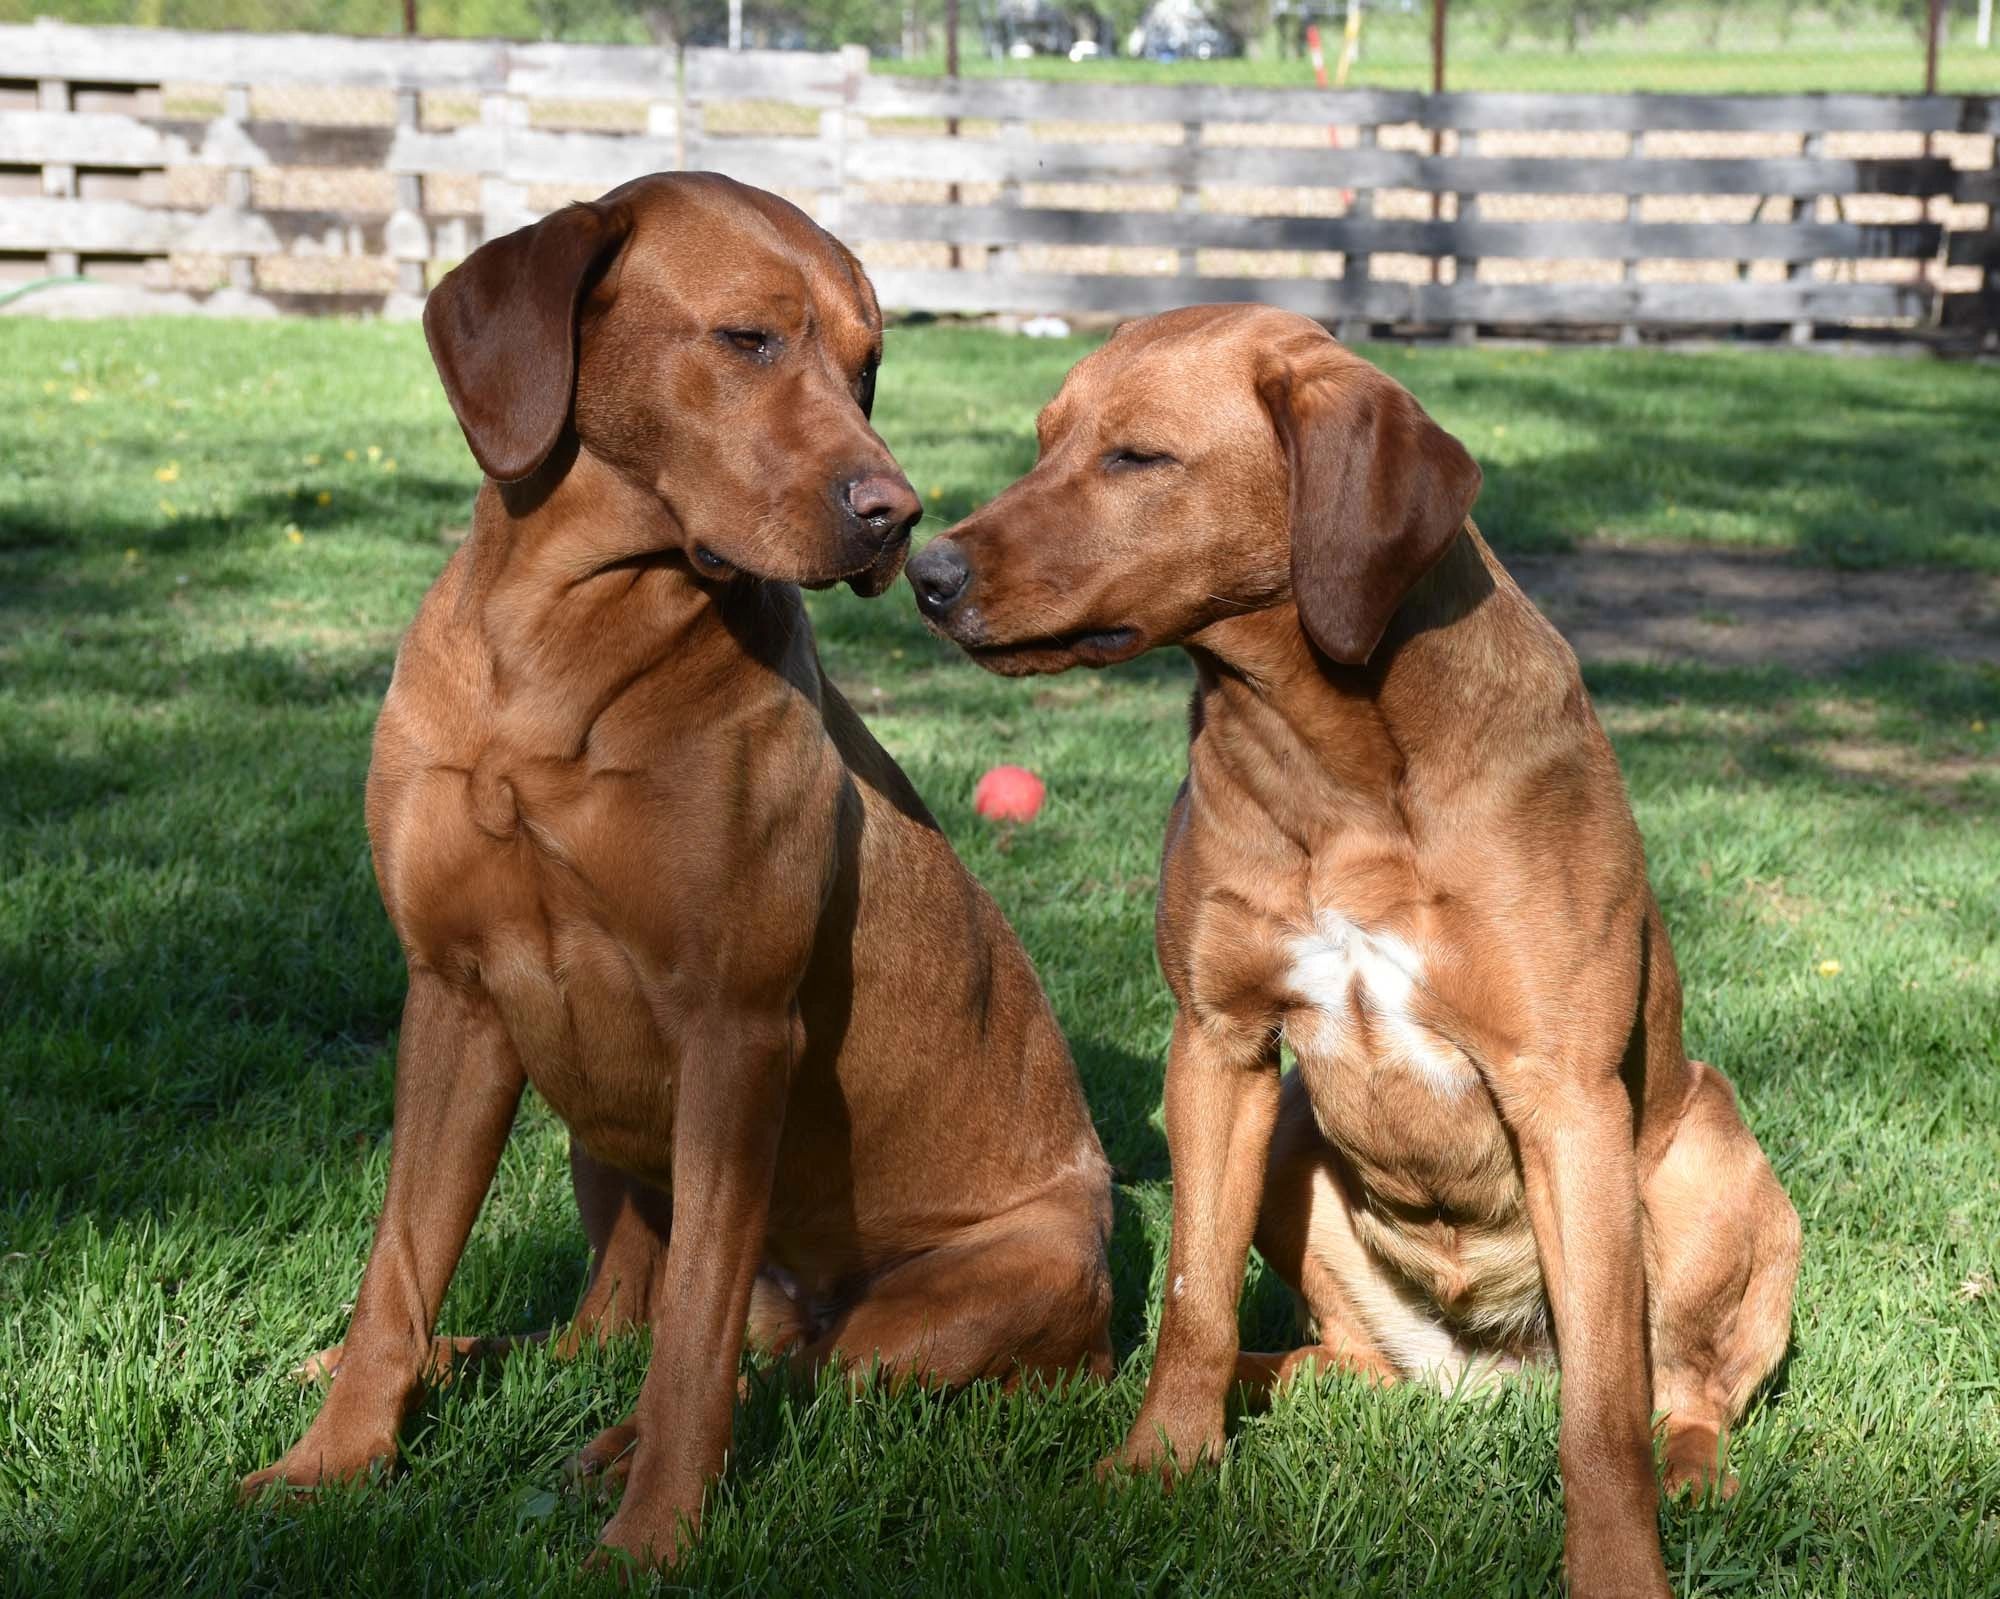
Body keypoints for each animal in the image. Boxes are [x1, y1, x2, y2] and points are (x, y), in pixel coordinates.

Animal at [242, 174, 1120, 1559]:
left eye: (869, 369)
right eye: (746, 340)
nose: (900, 519)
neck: (561, 638)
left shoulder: (736, 1033)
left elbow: (696, 1346)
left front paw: (651, 1538)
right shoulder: (451, 997)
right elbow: (399, 1271)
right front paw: (329, 1462)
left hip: (965, 1295)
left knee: (774, 1360)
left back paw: (613, 1448)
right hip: (597, 1149)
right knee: (591, 1337)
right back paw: (428, 1364)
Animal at [908, 303, 1800, 1599]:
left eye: (1136, 457)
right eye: (1042, 441)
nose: (922, 571)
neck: (1334, 763)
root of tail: (1484, 1371)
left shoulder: (1567, 1096)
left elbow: (1601, 1414)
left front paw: (1616, 1572)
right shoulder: (1216, 1047)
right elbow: (1193, 1303)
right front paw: (1160, 1464)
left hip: (1703, 1162)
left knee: (1680, 1397)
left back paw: (1689, 1476)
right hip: (1292, 1136)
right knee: (1338, 1355)